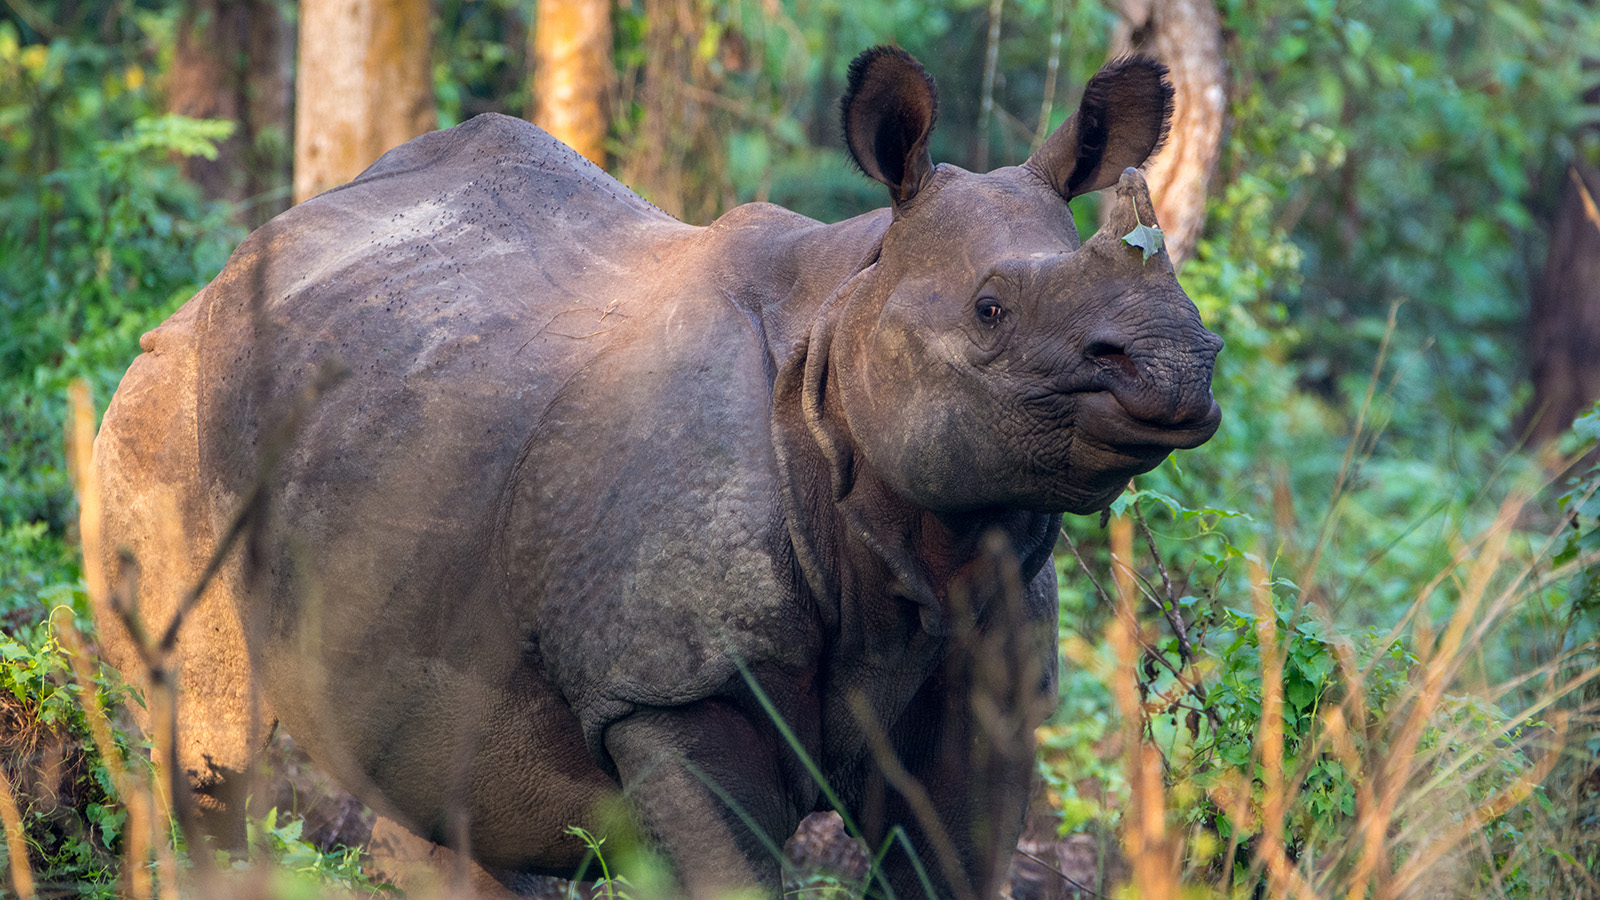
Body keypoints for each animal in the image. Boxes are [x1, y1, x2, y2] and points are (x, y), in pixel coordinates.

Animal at [91, 46, 1220, 898]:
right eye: (989, 312)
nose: (1177, 363)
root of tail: (217, 277)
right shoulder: (675, 686)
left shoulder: (982, 673)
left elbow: (945, 859)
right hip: (165, 407)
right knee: (205, 749)